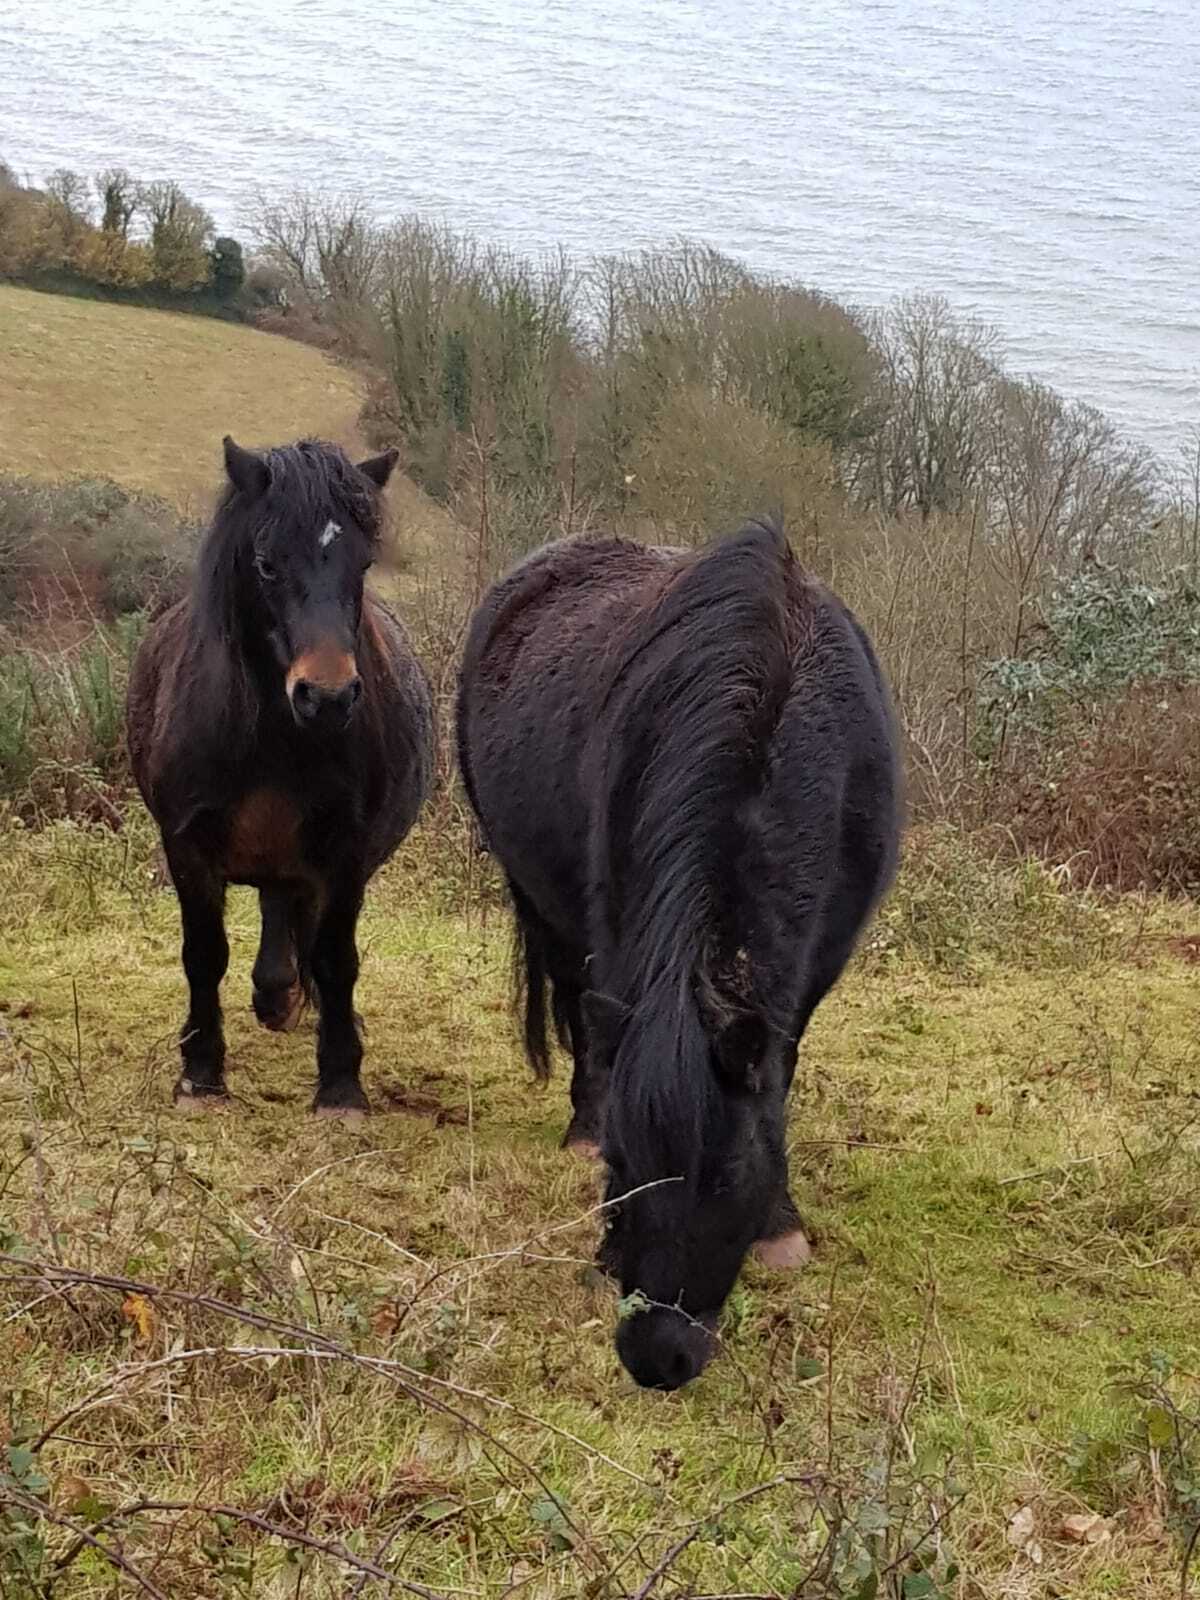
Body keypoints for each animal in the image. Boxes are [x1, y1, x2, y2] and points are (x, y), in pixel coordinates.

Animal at [127, 438, 435, 1113]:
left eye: (362, 564)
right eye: (266, 566)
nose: (328, 697)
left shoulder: (346, 853)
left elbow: (336, 959)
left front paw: (341, 1086)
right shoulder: (187, 847)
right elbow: (203, 954)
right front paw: (201, 1073)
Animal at [460, 515, 902, 1388]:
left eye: (725, 1177)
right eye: (625, 1164)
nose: (656, 1356)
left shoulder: (810, 975)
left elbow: (777, 1076)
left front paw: (780, 1226)